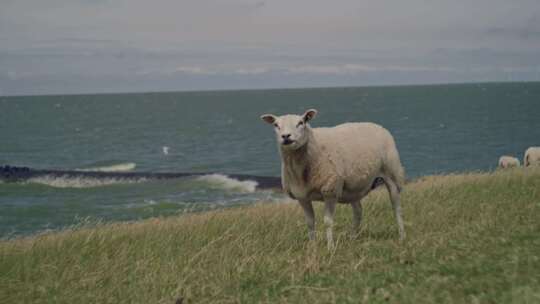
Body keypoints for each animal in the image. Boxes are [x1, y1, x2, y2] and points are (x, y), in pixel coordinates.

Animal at [260, 108, 404, 247]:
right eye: (276, 125)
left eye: (301, 123)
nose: (286, 136)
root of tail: (376, 125)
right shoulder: (302, 196)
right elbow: (310, 222)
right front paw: (312, 246)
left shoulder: (330, 191)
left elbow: (328, 222)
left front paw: (330, 247)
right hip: (352, 187)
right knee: (358, 211)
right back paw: (353, 237)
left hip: (391, 172)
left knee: (396, 207)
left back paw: (402, 235)